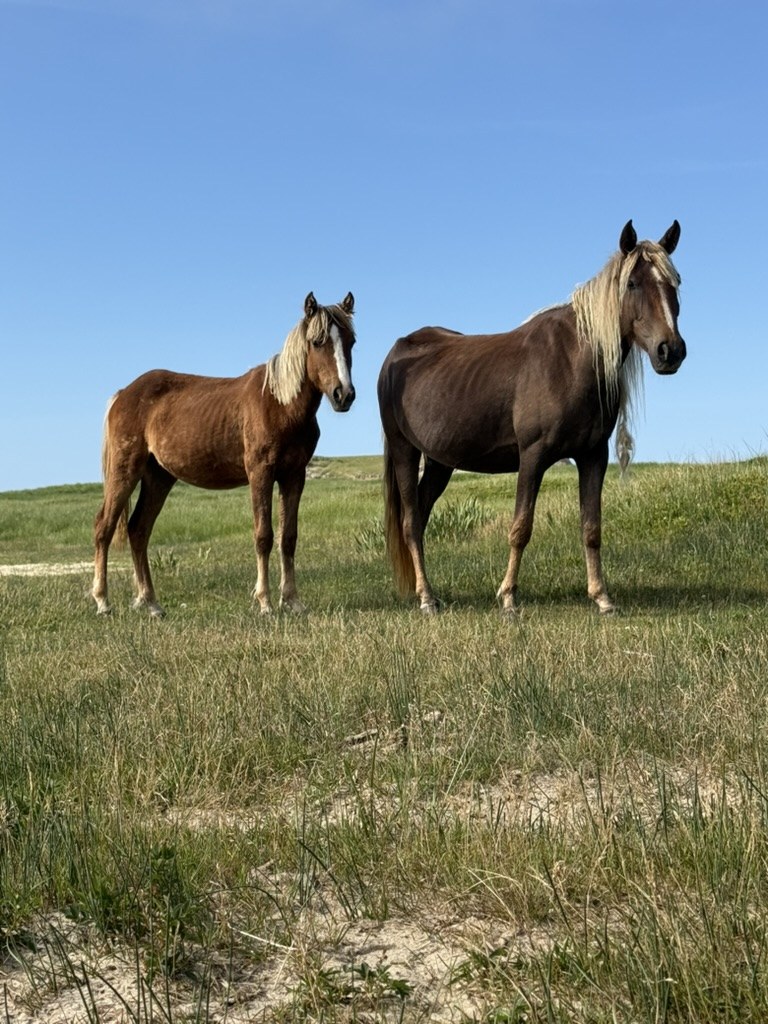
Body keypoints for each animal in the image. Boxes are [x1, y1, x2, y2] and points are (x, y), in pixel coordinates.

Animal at [92, 291, 356, 618]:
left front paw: (293, 600)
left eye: (351, 341)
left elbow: (288, 538)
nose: (343, 394)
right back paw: (103, 601)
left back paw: (151, 603)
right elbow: (264, 536)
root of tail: (123, 394)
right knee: (104, 527)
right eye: (317, 341)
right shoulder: (260, 473)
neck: (280, 405)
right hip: (124, 470)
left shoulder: (294, 476)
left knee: (138, 530)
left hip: (158, 477)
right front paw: (265, 602)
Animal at [377, 221, 685, 615]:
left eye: (675, 281)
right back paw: (427, 599)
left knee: (422, 514)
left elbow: (592, 527)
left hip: (439, 462)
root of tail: (396, 354)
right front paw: (508, 597)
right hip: (404, 449)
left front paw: (601, 597)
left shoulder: (593, 455)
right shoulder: (533, 456)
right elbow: (520, 528)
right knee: (411, 523)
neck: (572, 360)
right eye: (632, 283)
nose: (670, 351)